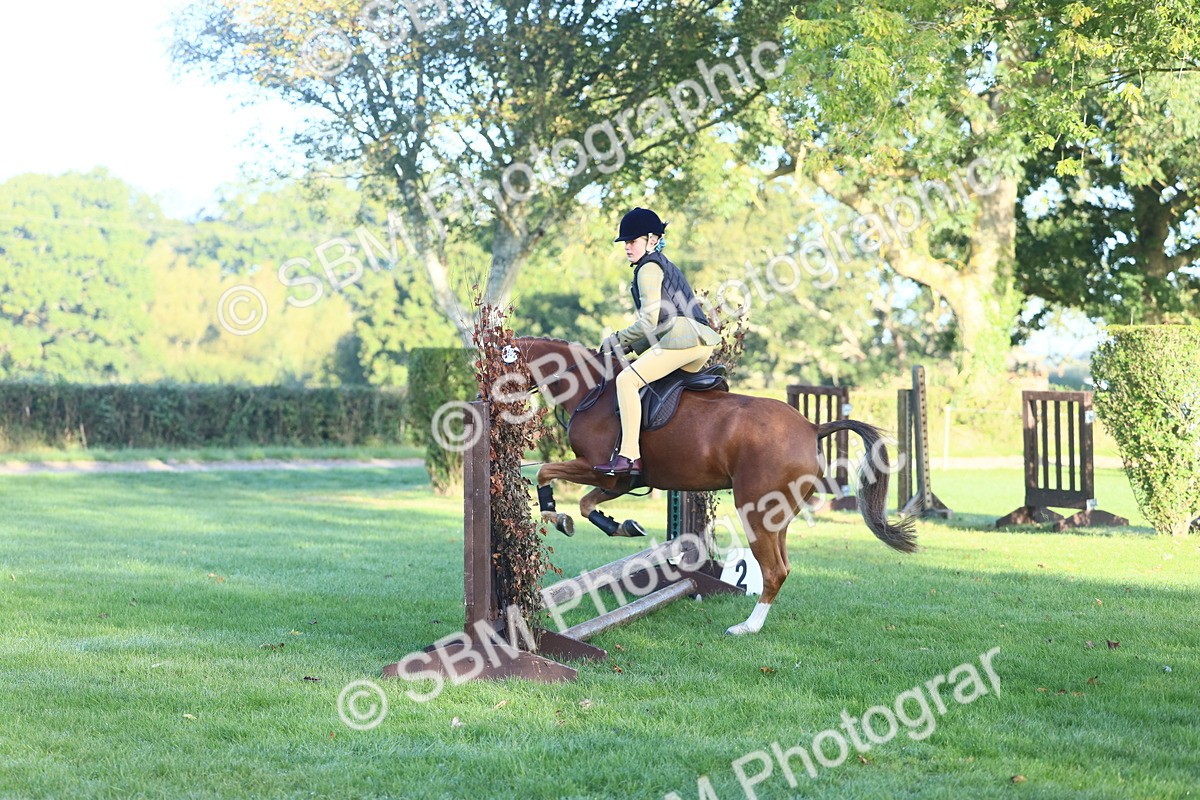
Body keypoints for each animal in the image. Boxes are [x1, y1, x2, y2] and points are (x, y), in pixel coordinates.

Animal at [514, 336, 917, 636]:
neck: (590, 390)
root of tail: (811, 427)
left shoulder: (603, 471)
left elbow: (545, 472)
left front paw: (555, 514)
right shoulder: (621, 480)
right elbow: (586, 505)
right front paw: (621, 526)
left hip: (755, 510)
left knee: (774, 570)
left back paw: (746, 628)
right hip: (779, 516)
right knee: (782, 566)